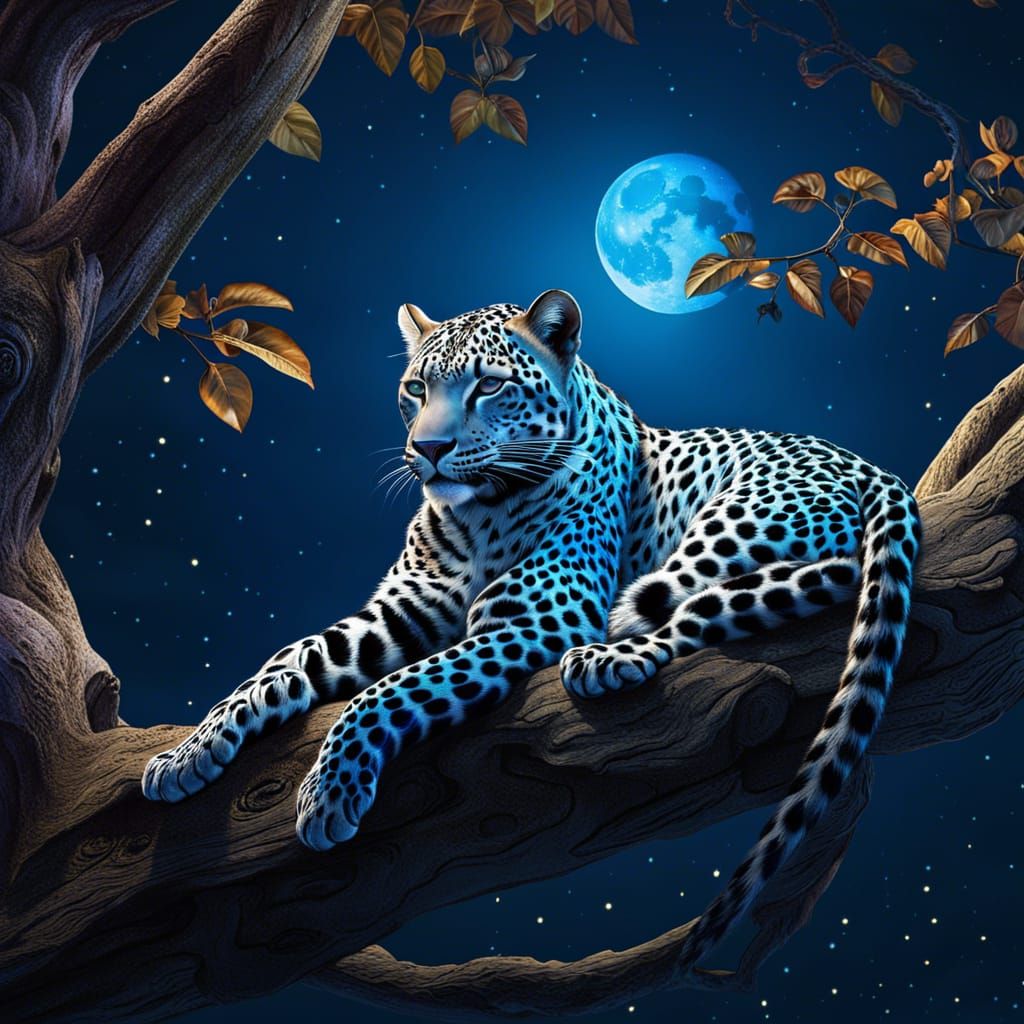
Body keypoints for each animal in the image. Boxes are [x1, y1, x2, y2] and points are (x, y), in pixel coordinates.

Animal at [142, 289, 920, 976]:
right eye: (416, 387)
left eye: (488, 386)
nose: (428, 448)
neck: (476, 515)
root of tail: (874, 466)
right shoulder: (394, 616)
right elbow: (287, 658)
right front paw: (189, 753)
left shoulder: (538, 618)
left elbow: (388, 691)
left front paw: (330, 791)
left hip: (720, 533)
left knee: (695, 609)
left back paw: (610, 660)